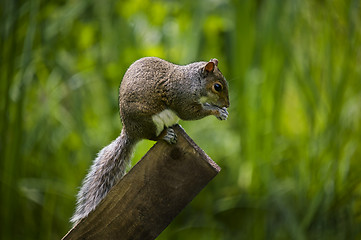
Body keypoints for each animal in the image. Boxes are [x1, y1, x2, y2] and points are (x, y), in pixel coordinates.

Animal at [70, 57, 228, 226]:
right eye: (217, 87)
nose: (227, 104)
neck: (192, 82)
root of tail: (131, 131)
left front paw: (222, 112)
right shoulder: (181, 97)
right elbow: (190, 113)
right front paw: (216, 111)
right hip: (150, 122)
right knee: (153, 136)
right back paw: (165, 135)